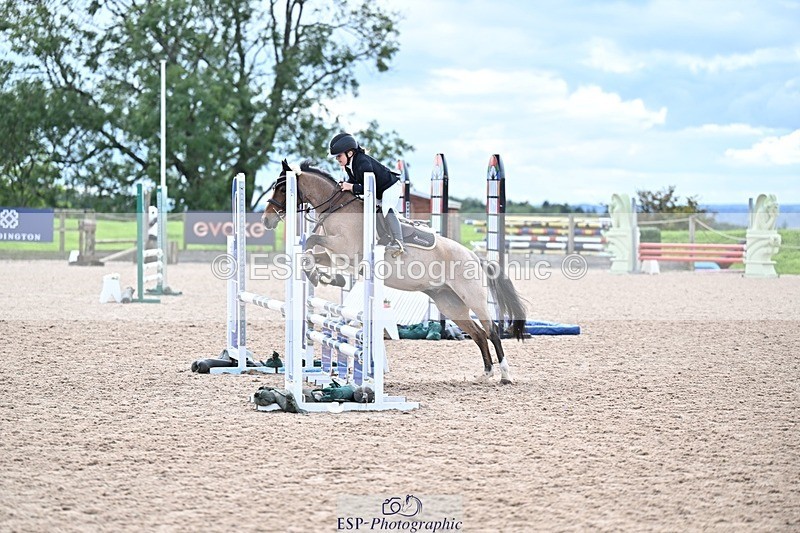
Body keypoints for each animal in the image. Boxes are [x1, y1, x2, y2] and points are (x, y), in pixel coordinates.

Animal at [261, 160, 527, 384]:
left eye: (282, 189)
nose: (266, 221)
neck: (337, 208)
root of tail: (475, 258)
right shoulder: (337, 255)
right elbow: (311, 253)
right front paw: (321, 275)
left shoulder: (345, 248)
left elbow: (311, 240)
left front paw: (320, 275)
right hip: (449, 303)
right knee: (479, 334)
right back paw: (486, 373)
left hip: (473, 297)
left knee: (492, 331)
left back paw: (505, 376)